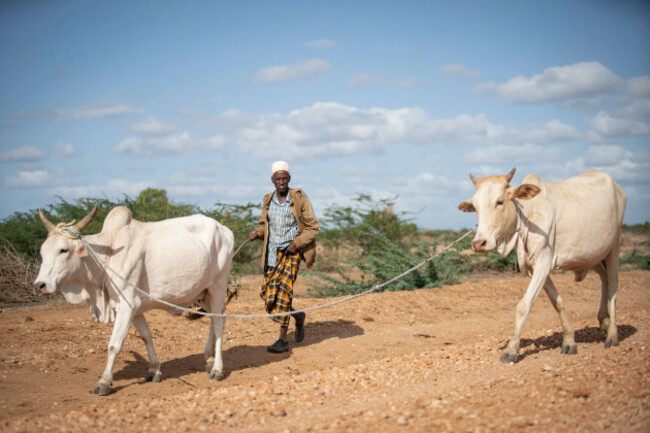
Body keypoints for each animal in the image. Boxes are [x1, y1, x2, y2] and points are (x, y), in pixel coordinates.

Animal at [458, 167, 624, 362]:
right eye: (475, 206)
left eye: (499, 201)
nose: (479, 243)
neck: (527, 216)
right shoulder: (535, 269)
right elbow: (557, 301)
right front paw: (569, 341)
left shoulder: (543, 263)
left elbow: (524, 305)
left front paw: (511, 350)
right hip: (593, 255)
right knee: (605, 279)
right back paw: (604, 321)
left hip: (614, 246)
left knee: (613, 286)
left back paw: (612, 335)